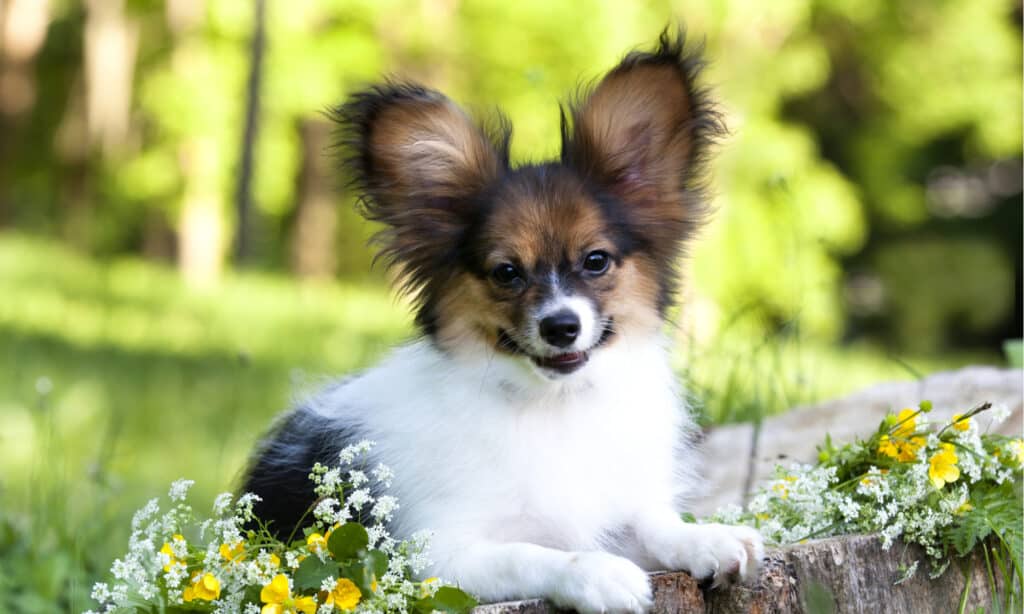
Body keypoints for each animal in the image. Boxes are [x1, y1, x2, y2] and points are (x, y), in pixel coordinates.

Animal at [241, 29, 761, 614]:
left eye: (596, 261)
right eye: (506, 272)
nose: (561, 327)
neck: (553, 406)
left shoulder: (609, 508)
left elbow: (651, 523)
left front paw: (708, 538)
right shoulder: (441, 556)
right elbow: (534, 554)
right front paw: (601, 573)